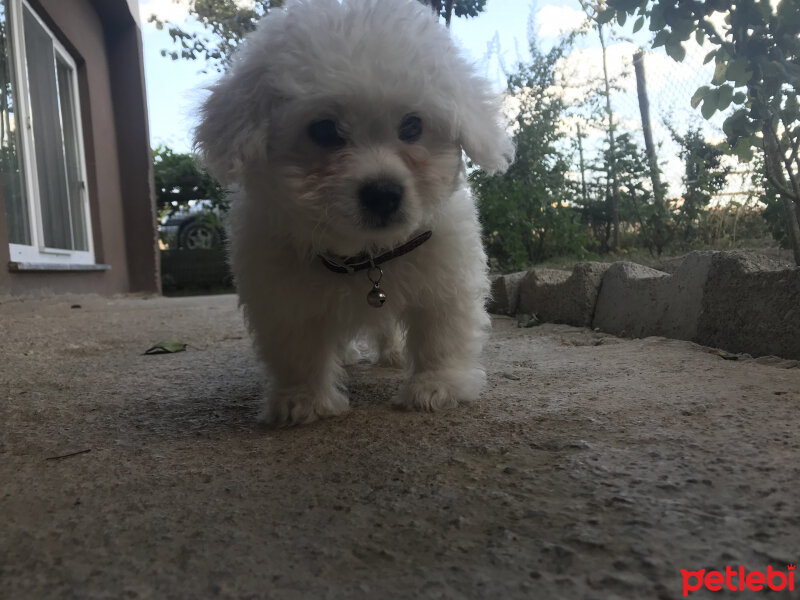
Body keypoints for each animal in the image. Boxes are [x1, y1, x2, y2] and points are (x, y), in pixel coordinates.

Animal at [194, 0, 512, 426]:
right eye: (324, 130)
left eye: (413, 125)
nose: (383, 194)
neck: (366, 254)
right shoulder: (281, 295)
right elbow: (297, 350)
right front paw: (303, 400)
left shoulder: (445, 278)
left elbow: (440, 335)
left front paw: (437, 386)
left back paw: (394, 355)